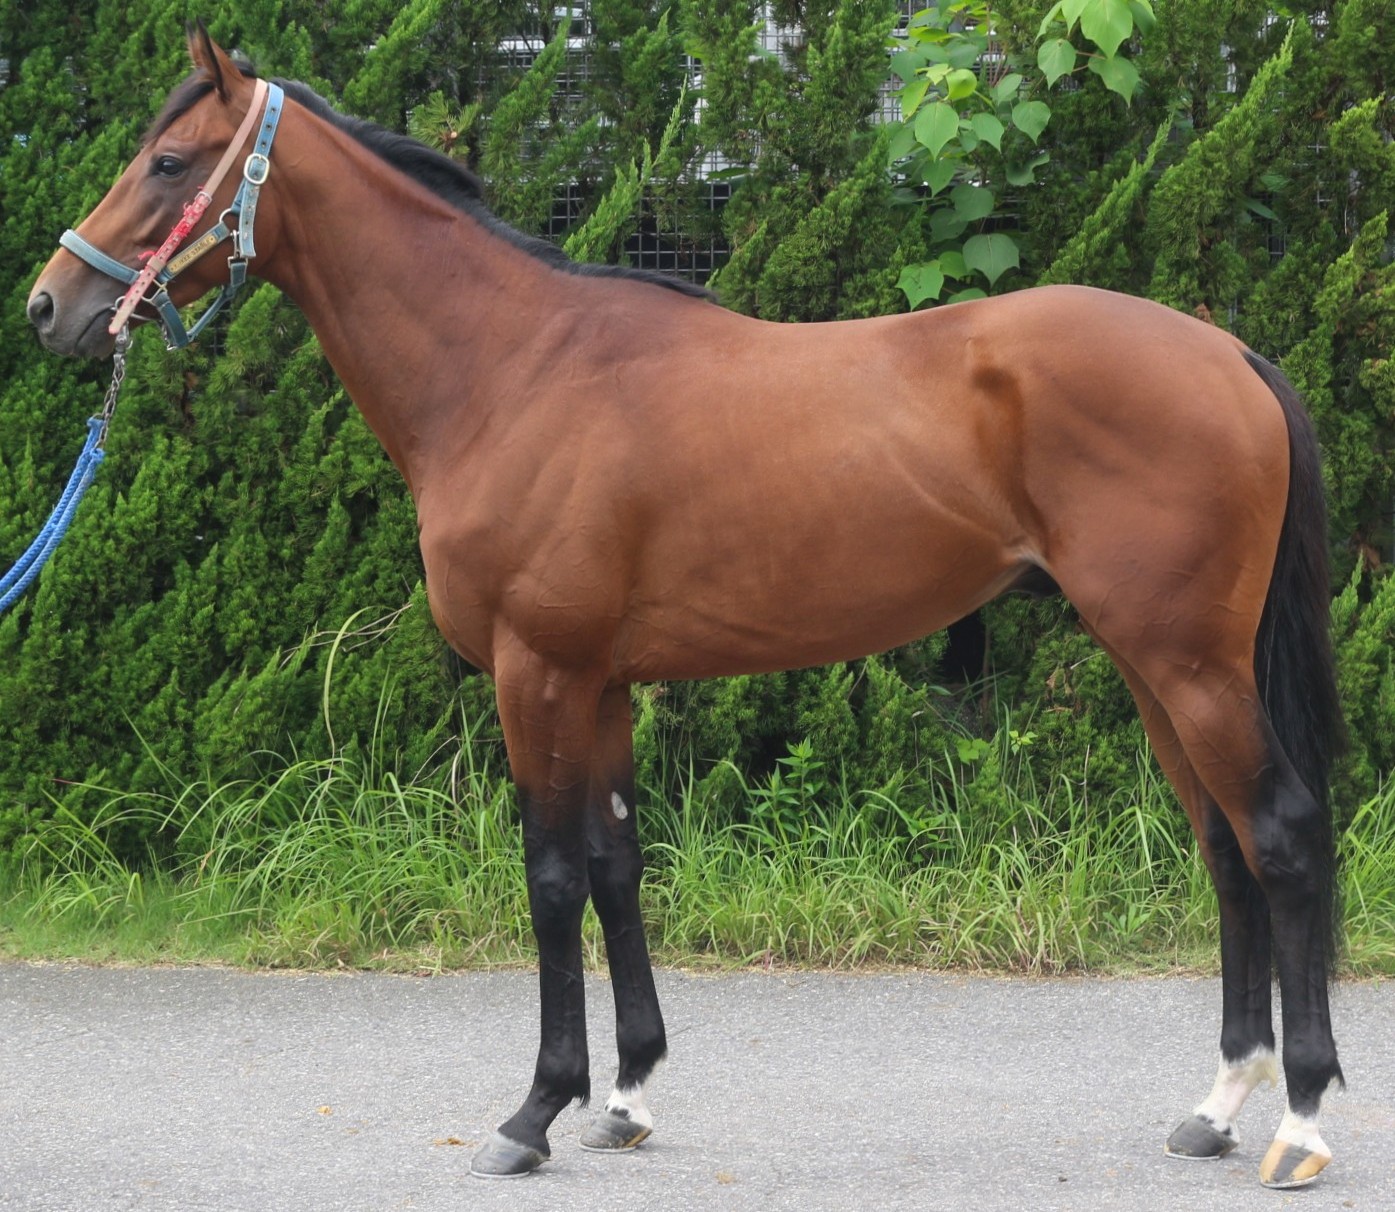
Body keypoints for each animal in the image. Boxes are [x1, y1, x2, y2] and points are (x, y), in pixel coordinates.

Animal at [26, 27, 1345, 1189]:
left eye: (170, 162)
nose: (50, 307)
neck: (512, 371)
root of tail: (1227, 356)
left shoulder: (538, 670)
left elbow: (552, 876)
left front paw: (533, 1113)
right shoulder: (602, 681)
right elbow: (618, 866)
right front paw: (626, 1097)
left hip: (1187, 663)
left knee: (1279, 836)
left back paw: (1302, 1120)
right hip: (1155, 666)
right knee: (1223, 846)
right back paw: (1217, 1106)